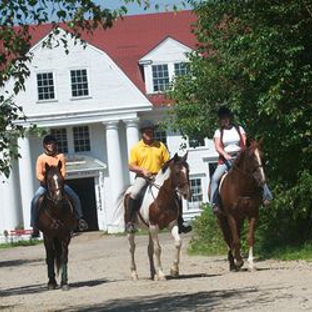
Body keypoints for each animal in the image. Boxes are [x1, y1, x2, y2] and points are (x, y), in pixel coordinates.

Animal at [35, 161, 76, 290]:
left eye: (62, 179)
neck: (56, 211)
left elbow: (64, 257)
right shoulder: (48, 235)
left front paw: (64, 283)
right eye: (48, 180)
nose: (58, 199)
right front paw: (51, 283)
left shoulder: (65, 235)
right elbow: (50, 257)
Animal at [123, 152, 190, 282]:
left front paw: (174, 270)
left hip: (149, 230)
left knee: (149, 249)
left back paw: (153, 274)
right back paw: (134, 274)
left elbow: (178, 243)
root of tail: (128, 191)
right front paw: (161, 274)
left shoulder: (172, 224)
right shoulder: (154, 226)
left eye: (188, 170)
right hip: (133, 229)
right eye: (177, 172)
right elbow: (158, 249)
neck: (162, 198)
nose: (186, 193)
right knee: (132, 248)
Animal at [216, 140, 266, 272]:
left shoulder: (253, 214)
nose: (262, 179)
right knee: (228, 238)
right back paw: (232, 264)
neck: (242, 187)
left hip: (240, 218)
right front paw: (238, 261)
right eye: (250, 156)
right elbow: (236, 240)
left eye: (262, 155)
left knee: (234, 236)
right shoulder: (230, 216)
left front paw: (251, 264)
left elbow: (250, 238)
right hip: (221, 218)